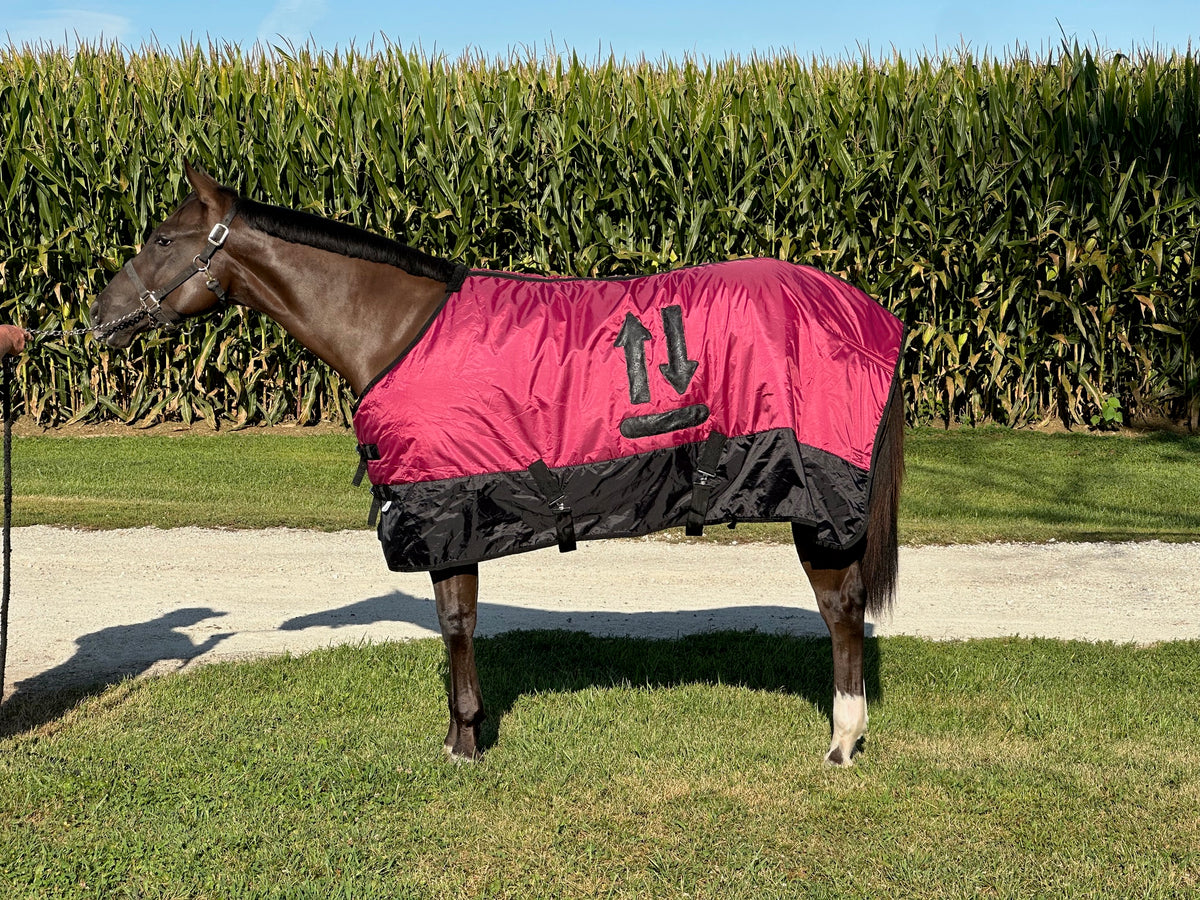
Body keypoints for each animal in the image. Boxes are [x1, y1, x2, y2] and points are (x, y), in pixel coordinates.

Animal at [90, 163, 904, 766]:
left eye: (162, 237)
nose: (100, 316)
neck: (396, 329)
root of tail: (867, 312)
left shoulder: (447, 508)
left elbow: (456, 623)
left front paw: (464, 743)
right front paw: (462, 736)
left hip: (817, 496)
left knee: (840, 608)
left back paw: (842, 741)